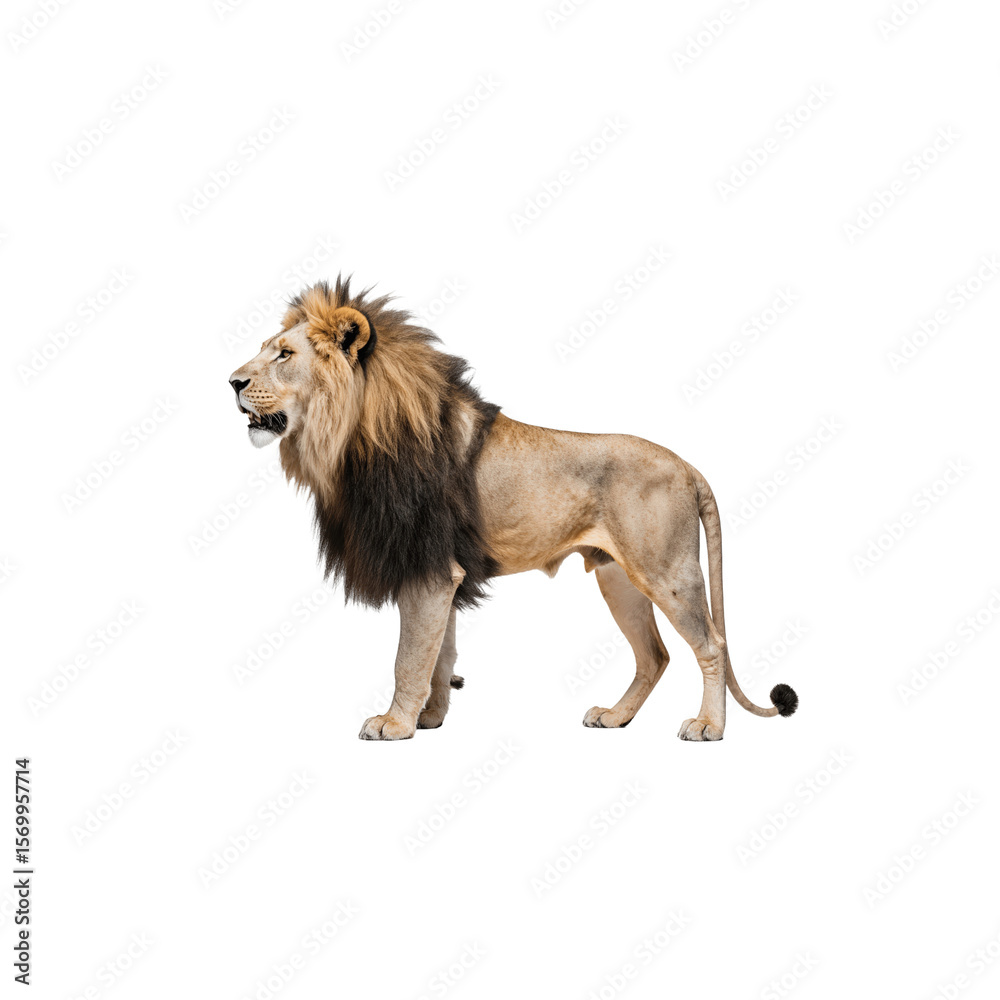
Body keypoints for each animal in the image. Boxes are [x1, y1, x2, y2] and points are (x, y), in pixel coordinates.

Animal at [228, 276, 798, 741]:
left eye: (283, 354)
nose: (232, 381)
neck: (350, 438)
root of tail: (688, 465)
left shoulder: (430, 568)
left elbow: (410, 656)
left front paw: (395, 723)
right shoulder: (440, 570)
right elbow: (440, 652)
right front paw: (431, 718)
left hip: (667, 572)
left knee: (713, 644)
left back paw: (708, 726)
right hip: (618, 577)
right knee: (655, 655)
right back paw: (615, 717)